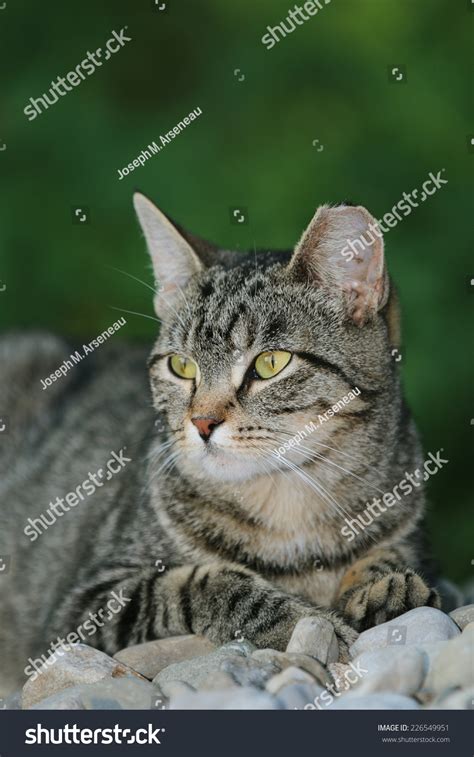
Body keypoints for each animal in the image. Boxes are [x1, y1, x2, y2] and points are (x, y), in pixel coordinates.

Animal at [0, 192, 440, 692]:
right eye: (181, 366)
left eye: (270, 363)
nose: (202, 422)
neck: (291, 508)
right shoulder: (82, 609)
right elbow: (205, 585)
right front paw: (308, 622)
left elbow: (391, 557)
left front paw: (386, 584)